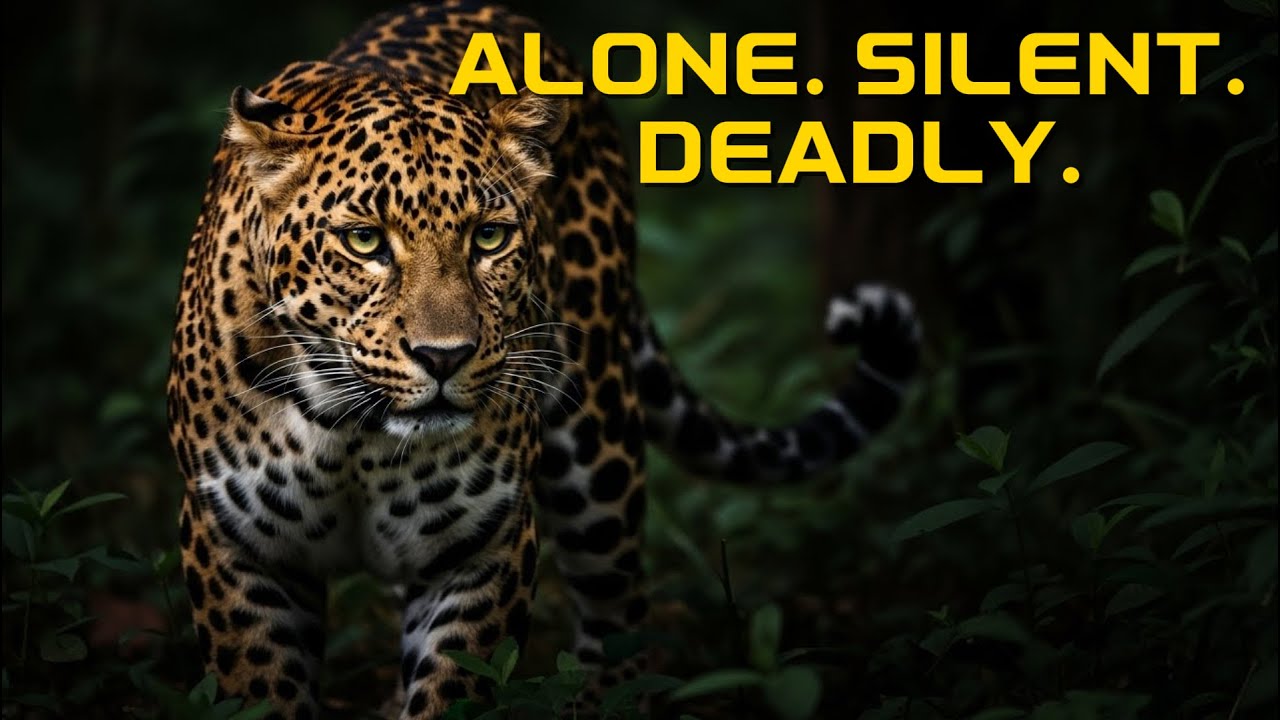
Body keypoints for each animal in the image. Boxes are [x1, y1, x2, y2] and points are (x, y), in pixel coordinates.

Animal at [166, 2, 921, 718]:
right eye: (364, 241)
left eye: (489, 238)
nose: (444, 358)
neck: (354, 430)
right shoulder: (236, 547)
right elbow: (261, 689)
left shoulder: (481, 545)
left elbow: (455, 688)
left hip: (599, 444)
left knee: (620, 610)